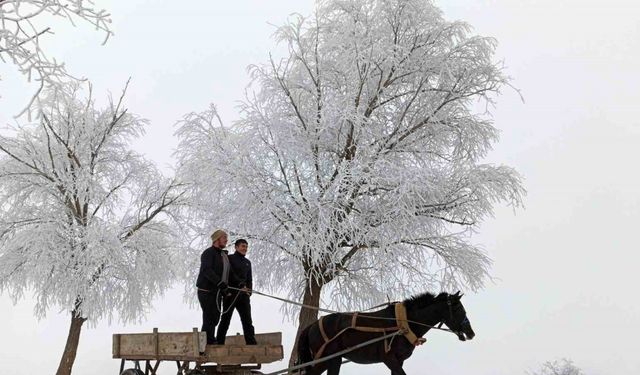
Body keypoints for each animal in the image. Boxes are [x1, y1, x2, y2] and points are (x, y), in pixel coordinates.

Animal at [298, 292, 472, 374]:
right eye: (458, 308)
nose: (471, 333)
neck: (404, 323)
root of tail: (312, 325)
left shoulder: (399, 361)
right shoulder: (389, 359)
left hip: (333, 360)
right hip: (324, 359)